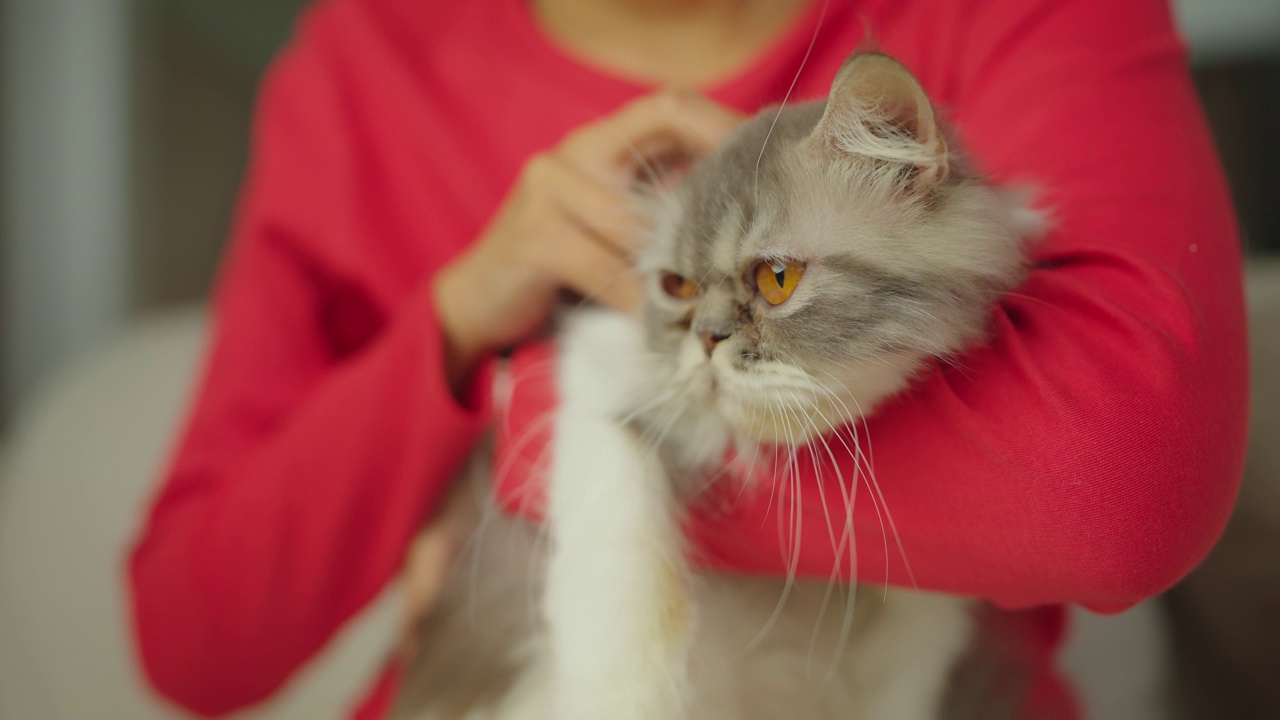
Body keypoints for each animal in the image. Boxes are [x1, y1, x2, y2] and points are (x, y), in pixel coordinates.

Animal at [394, 54, 1044, 717]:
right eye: (676, 287)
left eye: (777, 279)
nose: (705, 340)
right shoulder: (594, 364)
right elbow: (619, 580)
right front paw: (627, 696)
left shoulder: (926, 626)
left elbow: (901, 683)